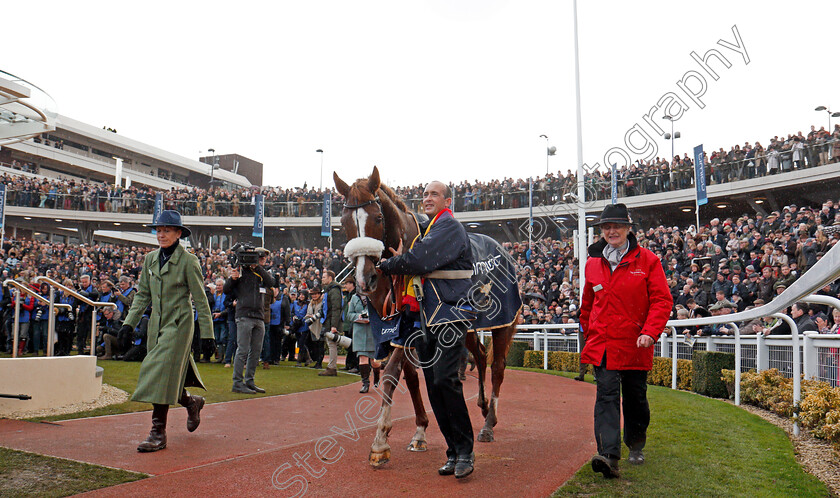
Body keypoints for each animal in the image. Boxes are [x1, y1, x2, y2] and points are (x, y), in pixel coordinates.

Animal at [334, 166, 520, 466]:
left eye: (377, 217)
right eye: (343, 222)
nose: (364, 279)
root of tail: (504, 250)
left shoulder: (411, 327)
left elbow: (390, 375)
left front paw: (380, 441)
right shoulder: (395, 328)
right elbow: (410, 378)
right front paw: (420, 431)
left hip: (502, 321)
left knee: (499, 367)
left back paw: (488, 424)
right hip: (464, 326)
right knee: (480, 355)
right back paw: (481, 406)